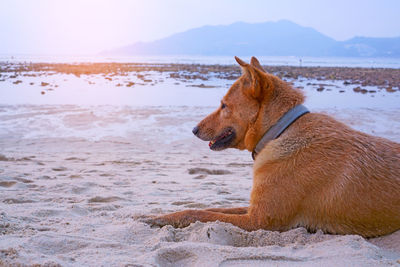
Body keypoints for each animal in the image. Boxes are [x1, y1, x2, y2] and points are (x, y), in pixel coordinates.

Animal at [148, 56, 400, 239]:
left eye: (224, 105)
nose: (193, 129)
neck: (280, 130)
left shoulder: (258, 221)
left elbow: (199, 213)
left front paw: (159, 220)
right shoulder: (253, 209)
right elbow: (210, 210)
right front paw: (161, 215)